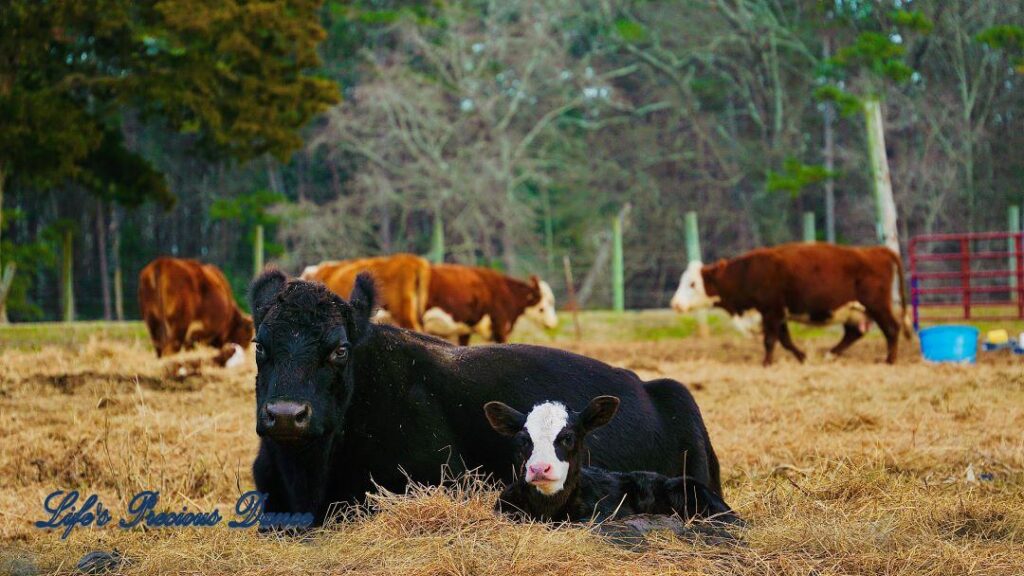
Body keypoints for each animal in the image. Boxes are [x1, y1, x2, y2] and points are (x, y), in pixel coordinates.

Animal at [671, 241, 913, 362]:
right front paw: (802, 357)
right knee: (853, 333)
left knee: (892, 328)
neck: (746, 273)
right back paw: (831, 354)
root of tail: (877, 251)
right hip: (854, 310)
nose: (675, 304)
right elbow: (785, 340)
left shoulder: (771, 311)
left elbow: (770, 340)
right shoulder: (778, 314)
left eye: (692, 284)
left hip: (877, 305)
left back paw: (889, 360)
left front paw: (766, 363)